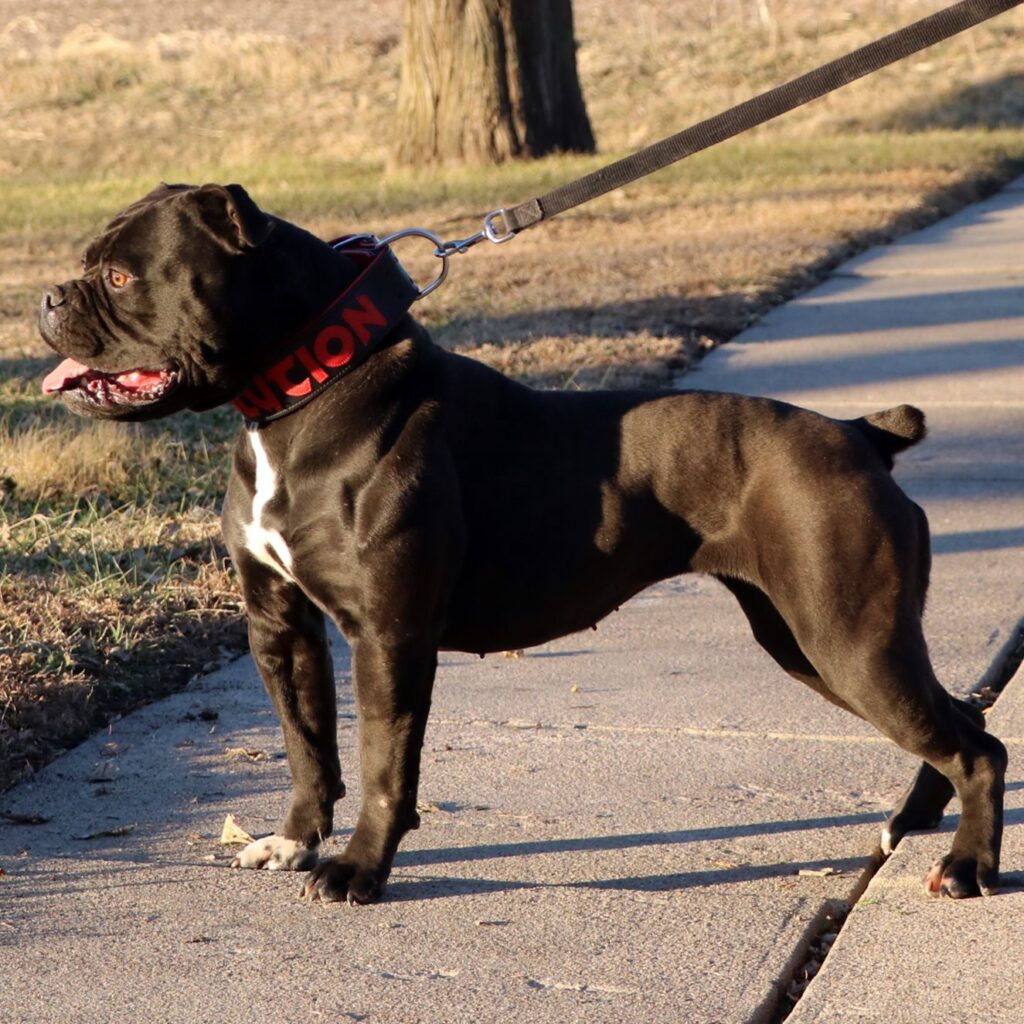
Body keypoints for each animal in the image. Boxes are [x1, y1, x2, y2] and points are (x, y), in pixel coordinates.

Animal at [37, 184, 1007, 905]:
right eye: (90, 264)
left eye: (119, 275)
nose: (48, 296)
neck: (301, 393)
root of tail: (861, 434)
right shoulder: (281, 626)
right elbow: (308, 746)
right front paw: (294, 842)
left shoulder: (389, 637)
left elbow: (383, 760)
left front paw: (358, 871)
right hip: (811, 641)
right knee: (964, 721)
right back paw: (921, 828)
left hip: (846, 639)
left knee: (975, 744)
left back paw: (967, 867)